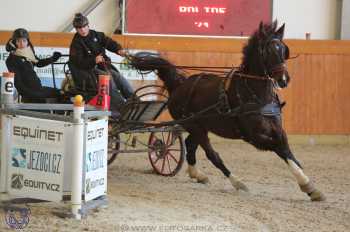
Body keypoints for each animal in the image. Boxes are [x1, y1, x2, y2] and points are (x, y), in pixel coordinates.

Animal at [129, 20, 326, 200]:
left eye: (284, 50)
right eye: (268, 51)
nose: (284, 79)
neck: (255, 94)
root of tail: (179, 84)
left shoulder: (278, 131)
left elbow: (289, 153)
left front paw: (310, 186)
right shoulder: (254, 137)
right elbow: (280, 149)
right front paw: (308, 185)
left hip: (200, 125)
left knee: (190, 144)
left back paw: (197, 175)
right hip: (195, 126)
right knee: (212, 154)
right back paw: (237, 182)